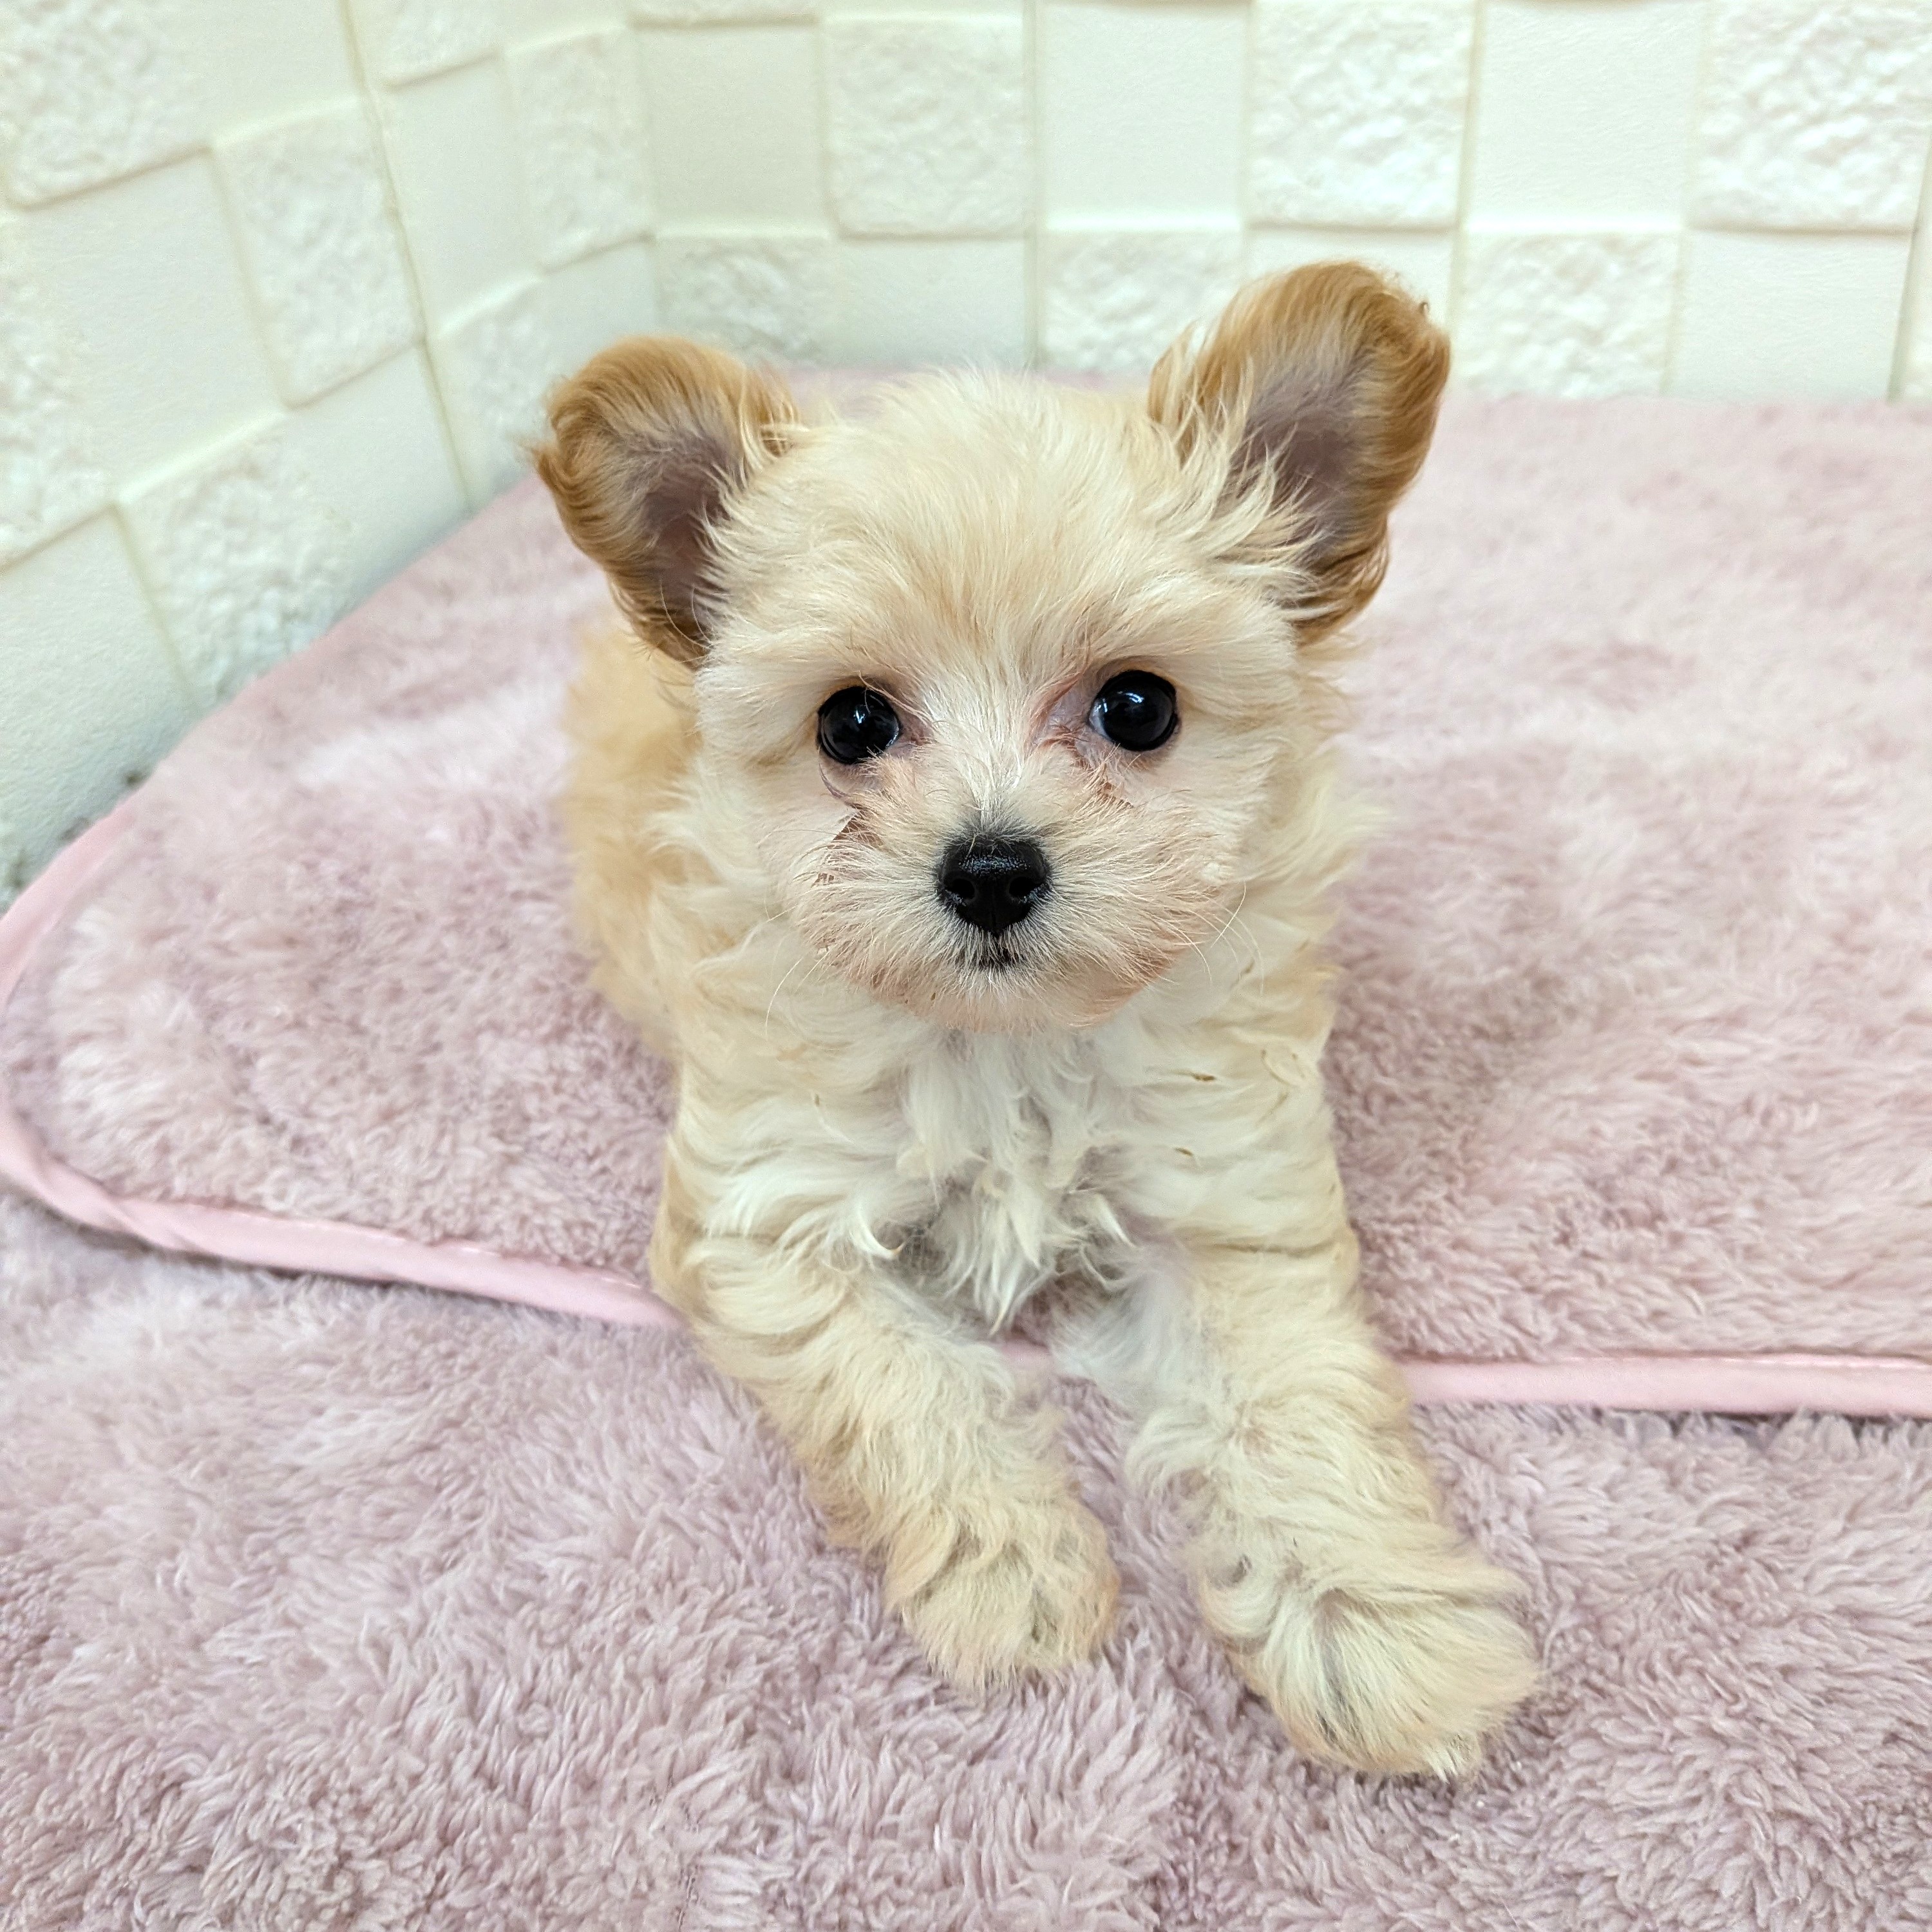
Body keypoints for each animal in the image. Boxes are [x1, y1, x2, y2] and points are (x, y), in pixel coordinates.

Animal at [534, 263, 1538, 1777]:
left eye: (1138, 706)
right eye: (850, 724)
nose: (992, 869)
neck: (1007, 1047)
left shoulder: (1228, 1204)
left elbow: (1292, 1403)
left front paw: (1379, 1632)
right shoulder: (765, 1222)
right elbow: (901, 1388)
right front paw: (1013, 1575)